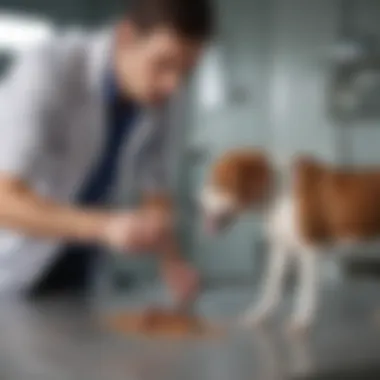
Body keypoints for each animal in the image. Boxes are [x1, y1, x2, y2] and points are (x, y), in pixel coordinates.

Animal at [199, 148, 380, 336]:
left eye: (219, 182)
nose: (199, 203)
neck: (278, 194)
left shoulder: (309, 251)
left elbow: (304, 291)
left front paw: (301, 321)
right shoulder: (280, 250)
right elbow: (270, 286)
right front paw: (259, 314)